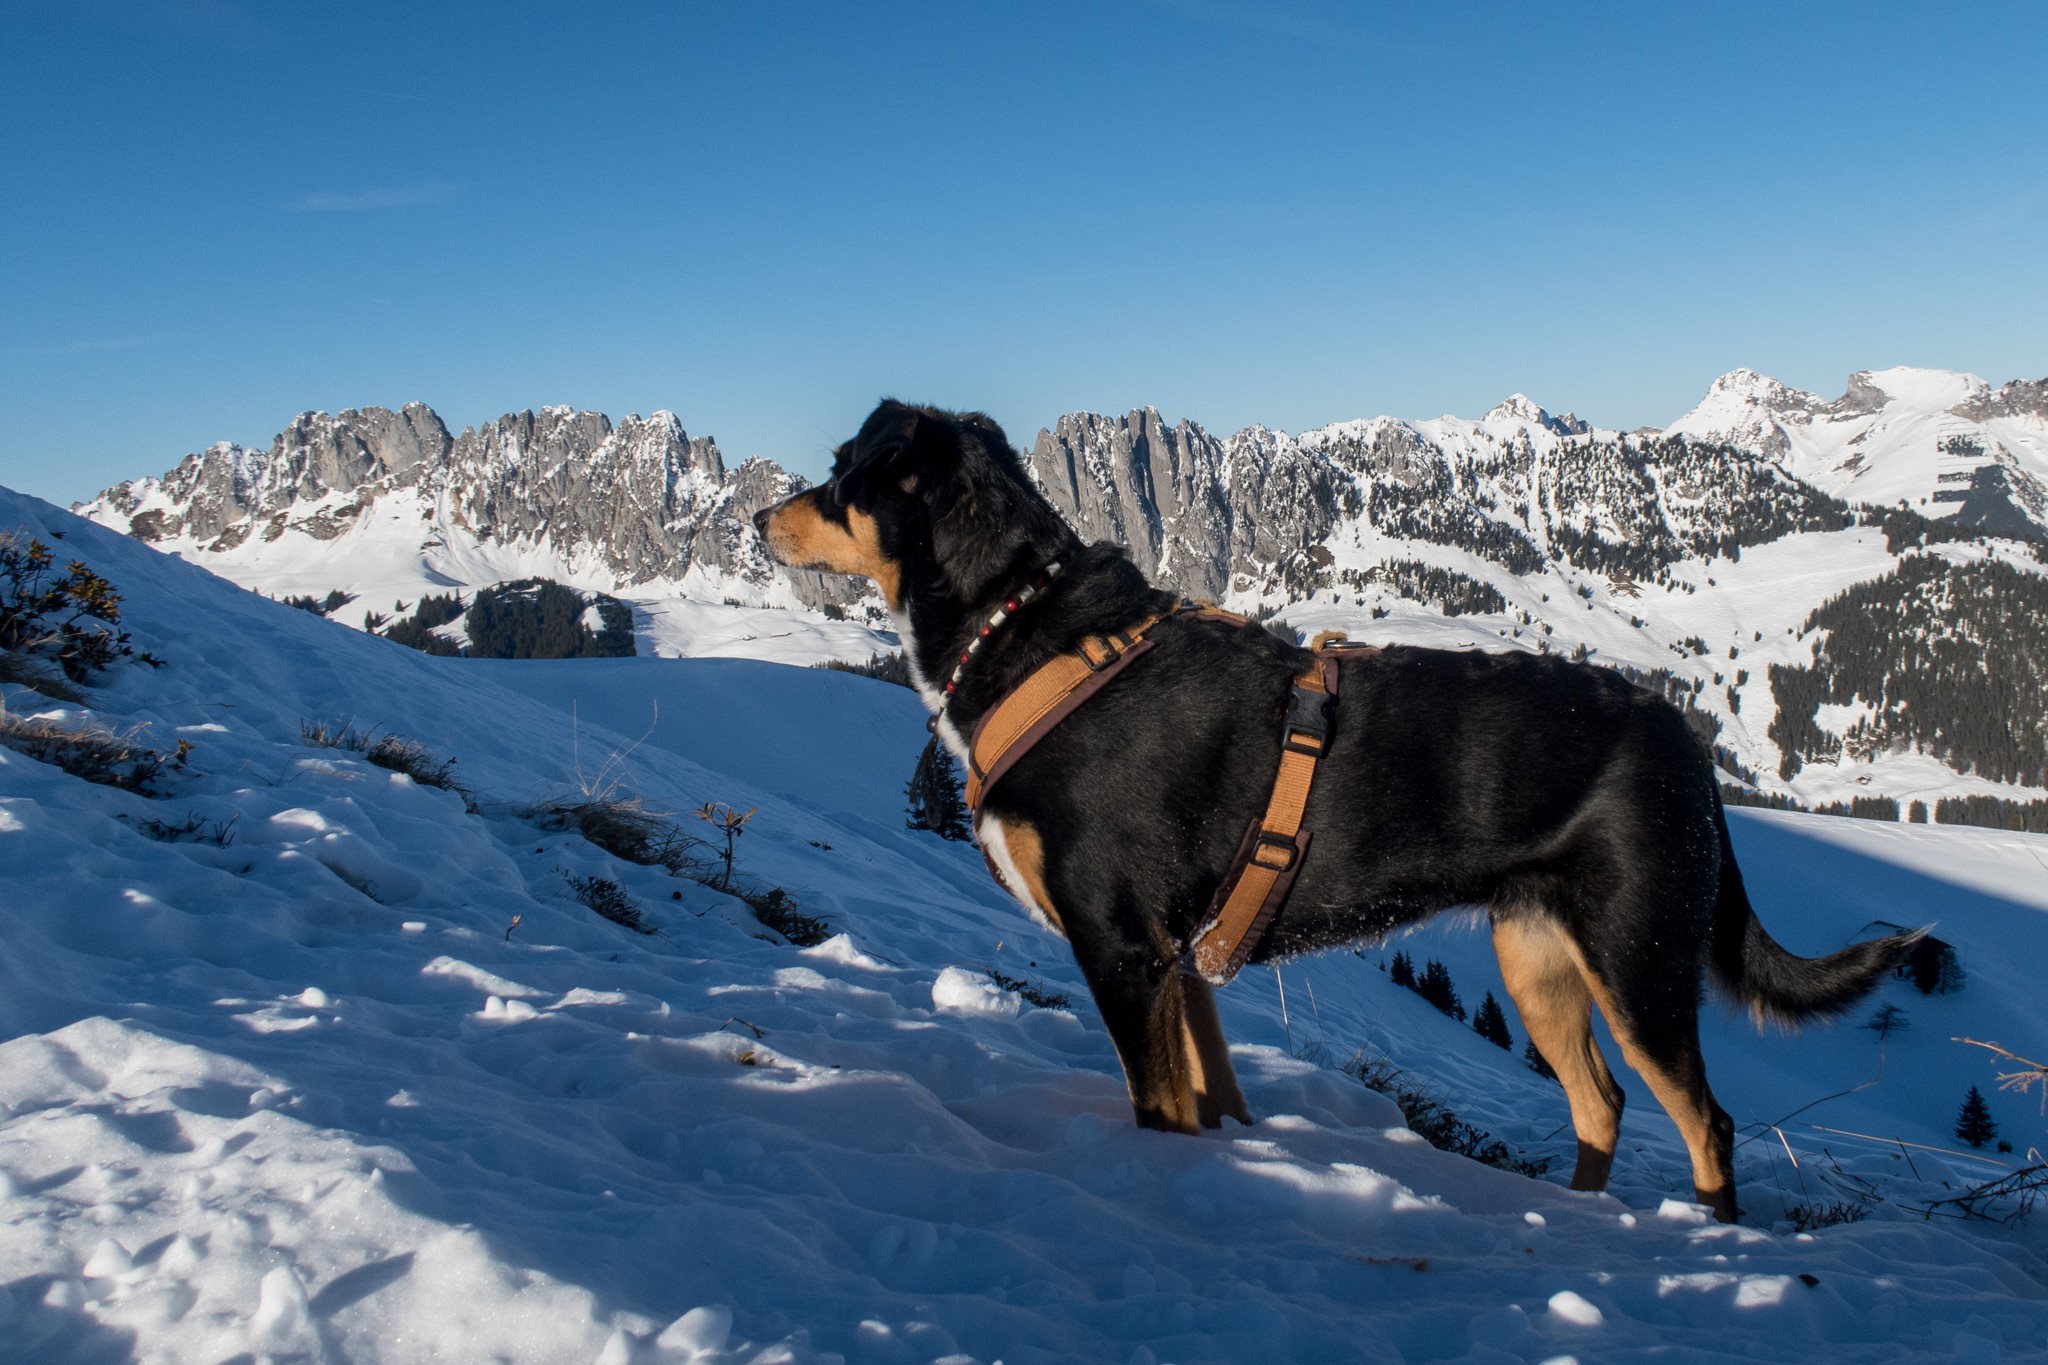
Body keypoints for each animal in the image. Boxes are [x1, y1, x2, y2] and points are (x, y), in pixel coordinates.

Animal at [755, 399, 1921, 1223]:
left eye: (843, 470)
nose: (759, 515)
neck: (1031, 631)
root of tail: (1680, 737)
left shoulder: (1122, 949)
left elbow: (1154, 1108)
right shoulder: (1179, 964)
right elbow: (1203, 1100)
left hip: (1638, 960)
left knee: (1705, 1124)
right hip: (1537, 960)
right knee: (1604, 1107)